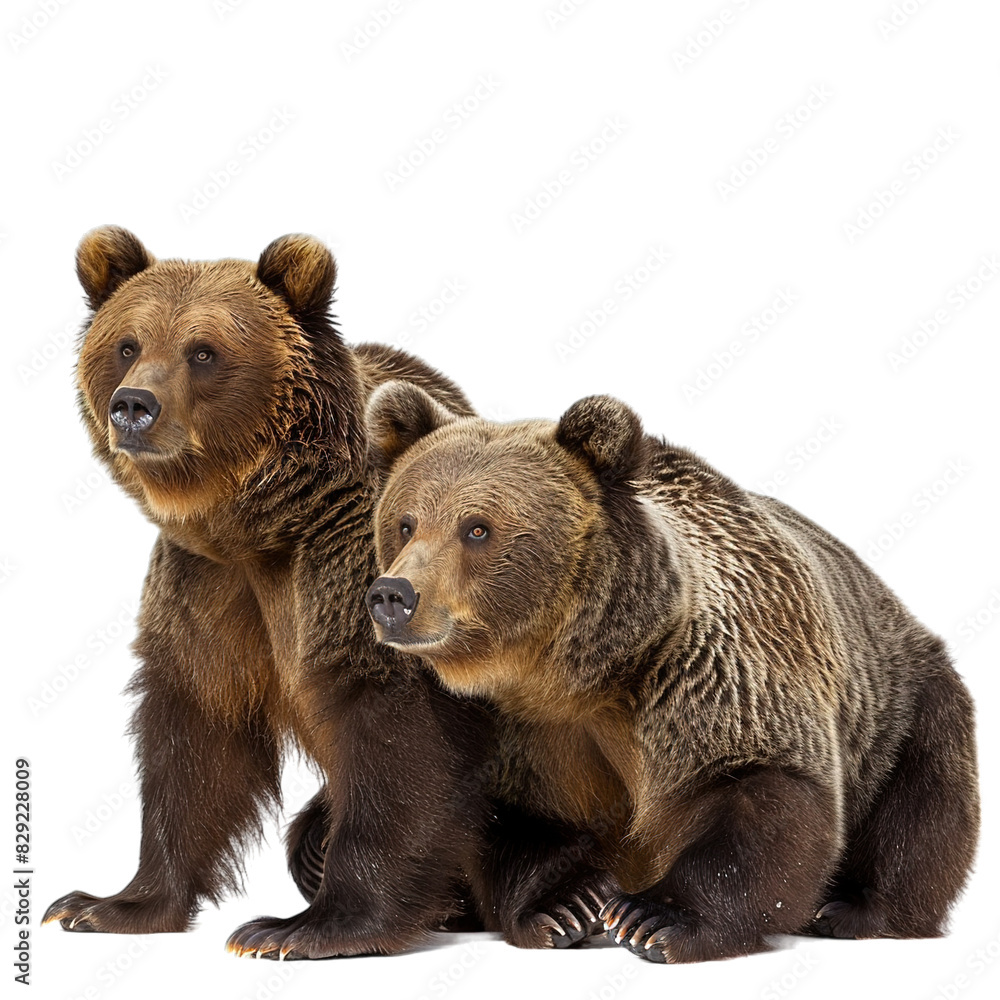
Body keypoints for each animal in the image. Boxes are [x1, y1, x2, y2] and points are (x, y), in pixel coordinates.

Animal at [43, 227, 494, 959]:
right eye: (128, 345)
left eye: (203, 351)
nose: (133, 406)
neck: (261, 529)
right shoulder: (206, 588)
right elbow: (196, 740)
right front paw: (102, 905)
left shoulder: (359, 579)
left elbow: (401, 747)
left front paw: (300, 928)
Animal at [362, 381, 980, 963]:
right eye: (405, 523)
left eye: (477, 528)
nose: (394, 595)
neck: (572, 675)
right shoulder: (508, 726)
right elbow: (510, 817)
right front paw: (568, 906)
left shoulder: (706, 678)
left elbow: (761, 793)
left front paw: (652, 918)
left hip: (902, 706)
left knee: (921, 809)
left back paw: (855, 910)